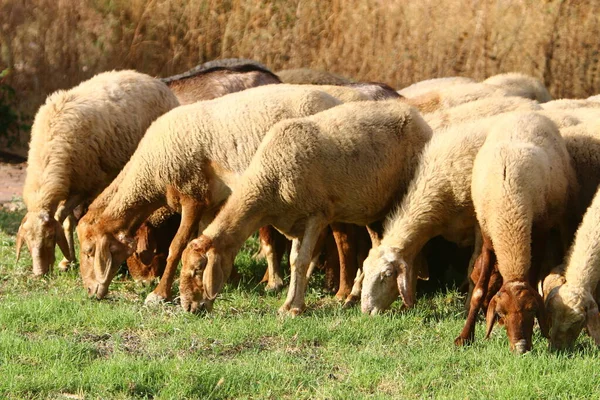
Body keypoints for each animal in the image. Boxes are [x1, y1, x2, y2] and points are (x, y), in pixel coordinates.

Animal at [15, 69, 179, 276]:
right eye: (27, 243)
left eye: (50, 238)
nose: (39, 274)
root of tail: (152, 79)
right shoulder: (71, 184)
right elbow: (66, 220)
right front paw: (68, 260)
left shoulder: (89, 185)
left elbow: (66, 218)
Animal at [77, 85, 344, 304]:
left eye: (89, 251)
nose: (89, 292)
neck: (151, 170)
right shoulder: (210, 204)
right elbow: (204, 238)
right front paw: (226, 279)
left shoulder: (193, 196)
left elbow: (176, 246)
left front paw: (159, 294)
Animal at [178, 100, 432, 316]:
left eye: (198, 269)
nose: (189, 308)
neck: (268, 181)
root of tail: (418, 117)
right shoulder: (296, 222)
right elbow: (293, 262)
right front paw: (287, 304)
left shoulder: (315, 216)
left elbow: (301, 261)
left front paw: (296, 309)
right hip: (374, 209)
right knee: (377, 246)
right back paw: (354, 296)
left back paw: (407, 301)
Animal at [454, 112, 572, 354]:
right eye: (502, 312)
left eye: (531, 310)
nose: (521, 347)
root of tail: (526, 113)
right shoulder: (488, 238)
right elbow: (478, 291)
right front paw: (464, 336)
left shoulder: (539, 233)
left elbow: (534, 281)